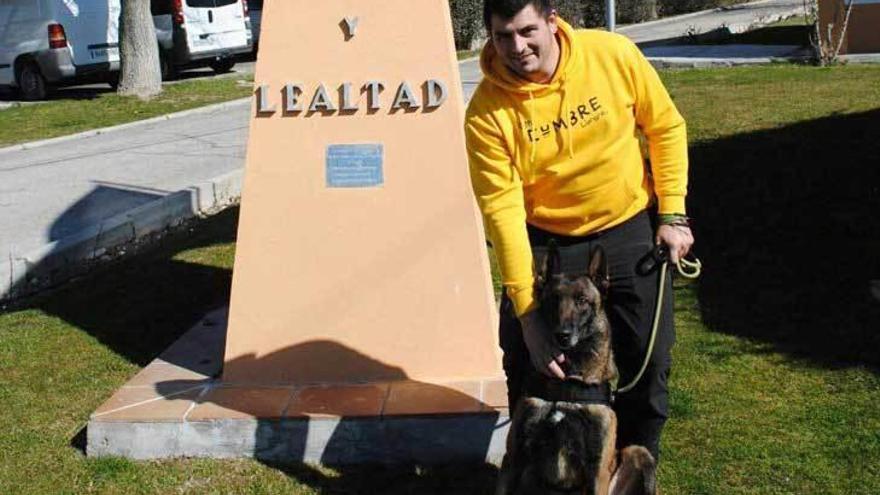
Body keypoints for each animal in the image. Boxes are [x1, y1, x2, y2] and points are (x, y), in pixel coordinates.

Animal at [496, 245, 660, 495]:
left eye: (582, 300)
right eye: (554, 300)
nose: (562, 335)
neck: (567, 380)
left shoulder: (598, 471)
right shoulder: (514, 458)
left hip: (639, 452)